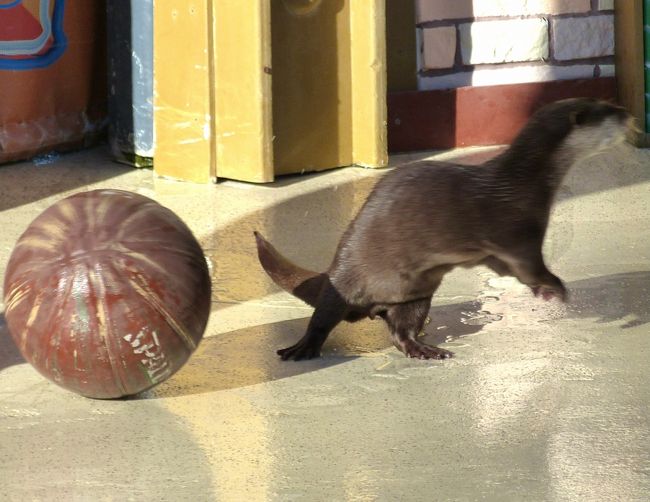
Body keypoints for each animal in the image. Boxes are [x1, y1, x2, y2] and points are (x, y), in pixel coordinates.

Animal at [254, 96, 632, 360]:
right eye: (609, 109)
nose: (627, 112)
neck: (525, 181)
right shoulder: (517, 230)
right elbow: (530, 265)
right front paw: (555, 287)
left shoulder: (499, 251)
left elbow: (510, 269)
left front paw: (543, 292)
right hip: (348, 279)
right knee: (324, 314)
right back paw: (303, 348)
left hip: (416, 293)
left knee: (401, 329)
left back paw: (424, 348)